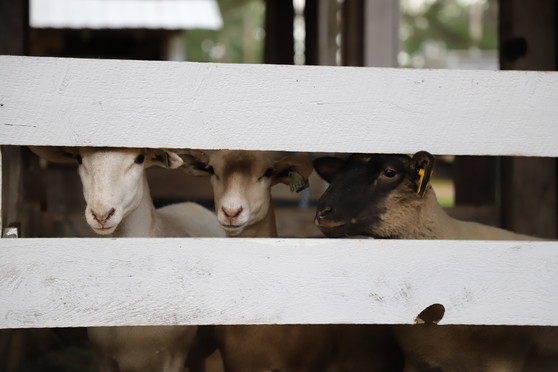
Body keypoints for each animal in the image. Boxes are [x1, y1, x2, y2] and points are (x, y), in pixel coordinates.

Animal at [30, 146, 225, 372]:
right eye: (79, 158)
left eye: (139, 158)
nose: (102, 214)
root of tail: (189, 203)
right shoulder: (105, 358)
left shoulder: (174, 357)